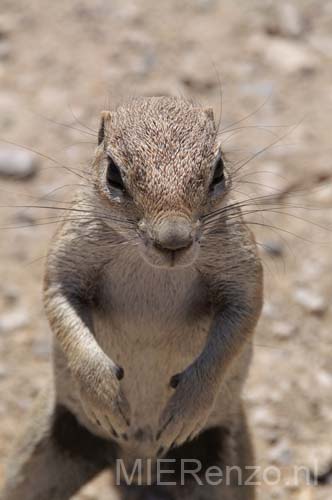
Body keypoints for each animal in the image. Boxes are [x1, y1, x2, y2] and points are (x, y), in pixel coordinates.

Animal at [1, 95, 264, 498]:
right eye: (113, 174)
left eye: (218, 170)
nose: (173, 240)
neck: (154, 269)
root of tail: (135, 463)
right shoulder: (69, 254)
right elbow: (60, 300)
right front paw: (103, 392)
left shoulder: (242, 267)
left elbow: (241, 319)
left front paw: (187, 407)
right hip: (40, 452)